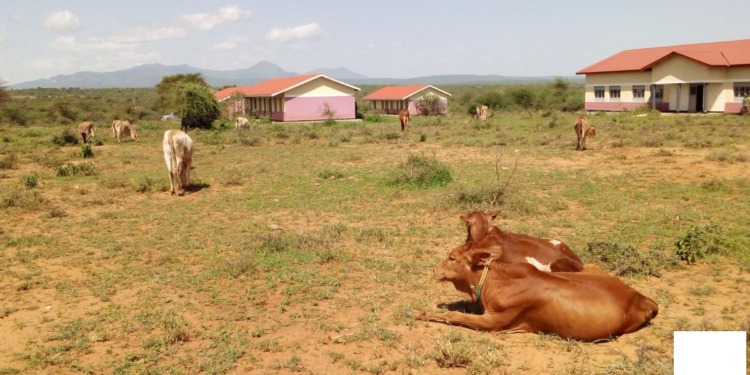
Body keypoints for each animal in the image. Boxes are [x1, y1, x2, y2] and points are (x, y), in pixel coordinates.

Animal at [408, 242, 660, 342]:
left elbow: (454, 315)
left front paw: (417, 313)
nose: (434, 270)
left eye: (451, 257)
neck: (497, 281)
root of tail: (644, 299)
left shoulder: (494, 322)